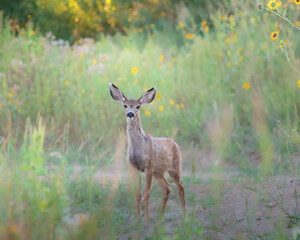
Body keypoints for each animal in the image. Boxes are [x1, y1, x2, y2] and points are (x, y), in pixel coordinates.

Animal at [109, 83, 184, 221]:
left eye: (138, 106)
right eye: (125, 105)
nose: (130, 114)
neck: (138, 148)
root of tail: (175, 143)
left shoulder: (148, 166)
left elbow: (146, 194)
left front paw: (147, 219)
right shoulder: (134, 167)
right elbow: (138, 194)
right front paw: (139, 218)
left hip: (174, 168)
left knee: (180, 186)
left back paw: (184, 214)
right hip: (158, 172)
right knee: (167, 188)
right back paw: (160, 216)